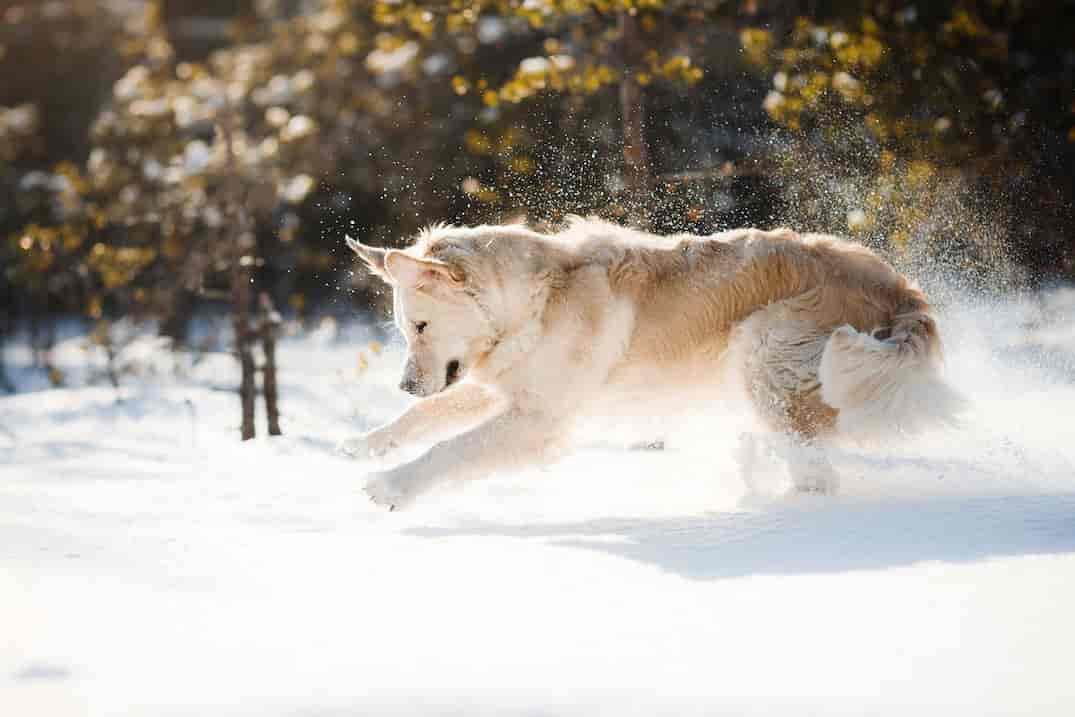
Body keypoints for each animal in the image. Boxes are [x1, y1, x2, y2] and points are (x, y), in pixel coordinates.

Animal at [339, 216, 963, 507]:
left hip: (761, 349)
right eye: (405, 330)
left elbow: (449, 450)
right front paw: (363, 445)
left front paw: (389, 486)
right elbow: (425, 419)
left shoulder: (537, 421)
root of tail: (899, 289)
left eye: (421, 326)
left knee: (816, 473)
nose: (405, 384)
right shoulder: (504, 386)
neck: (533, 302)